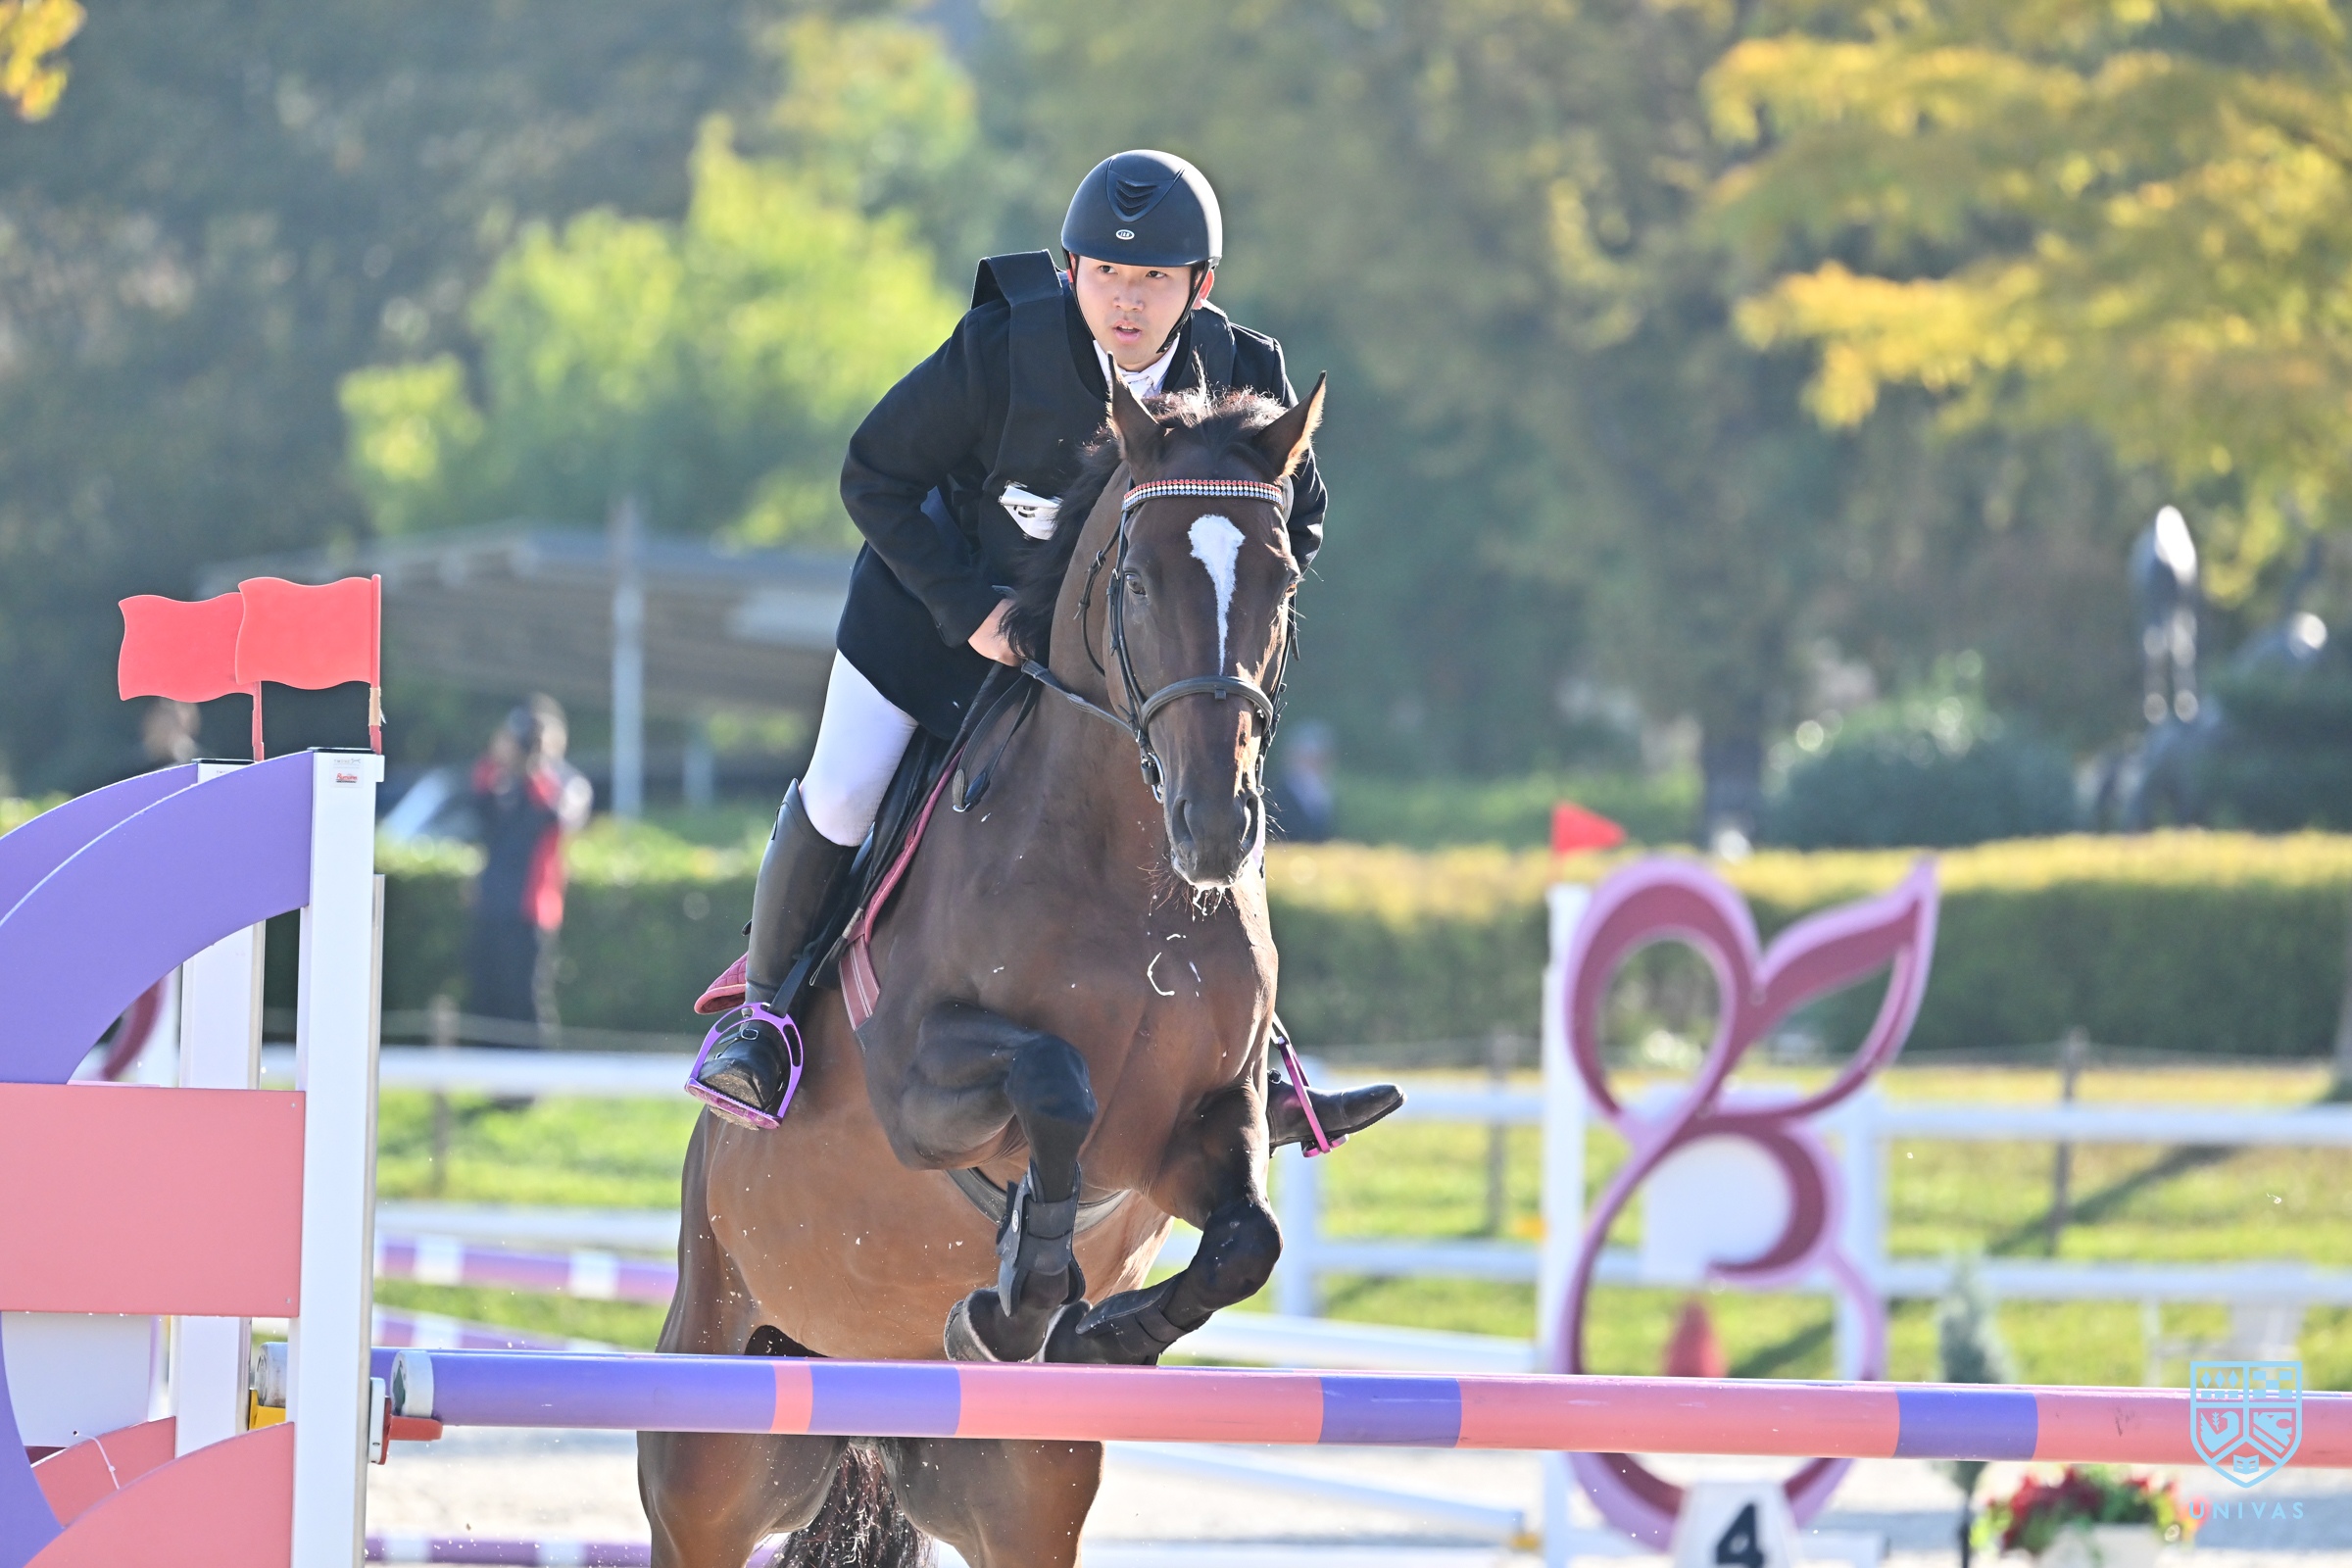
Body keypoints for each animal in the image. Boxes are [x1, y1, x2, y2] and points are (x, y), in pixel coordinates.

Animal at [639, 372, 1402, 1567]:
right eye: (1136, 580)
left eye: (1281, 580)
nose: (1216, 827)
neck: (1138, 883)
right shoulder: (919, 1090)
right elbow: (1054, 1083)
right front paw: (1014, 1301)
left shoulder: (1202, 1125)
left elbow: (1249, 1238)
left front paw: (1101, 1331)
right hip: (707, 1450)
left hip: (1025, 1501)